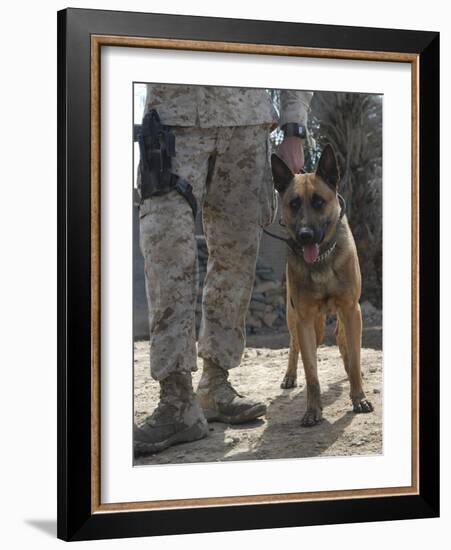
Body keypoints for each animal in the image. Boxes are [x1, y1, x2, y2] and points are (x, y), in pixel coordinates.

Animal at [272, 146, 374, 426]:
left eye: (319, 201)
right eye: (293, 204)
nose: (305, 235)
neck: (322, 261)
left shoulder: (351, 310)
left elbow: (354, 356)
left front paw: (359, 397)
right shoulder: (305, 320)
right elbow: (312, 374)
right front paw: (312, 410)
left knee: (343, 341)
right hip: (301, 321)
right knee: (295, 344)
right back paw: (289, 375)